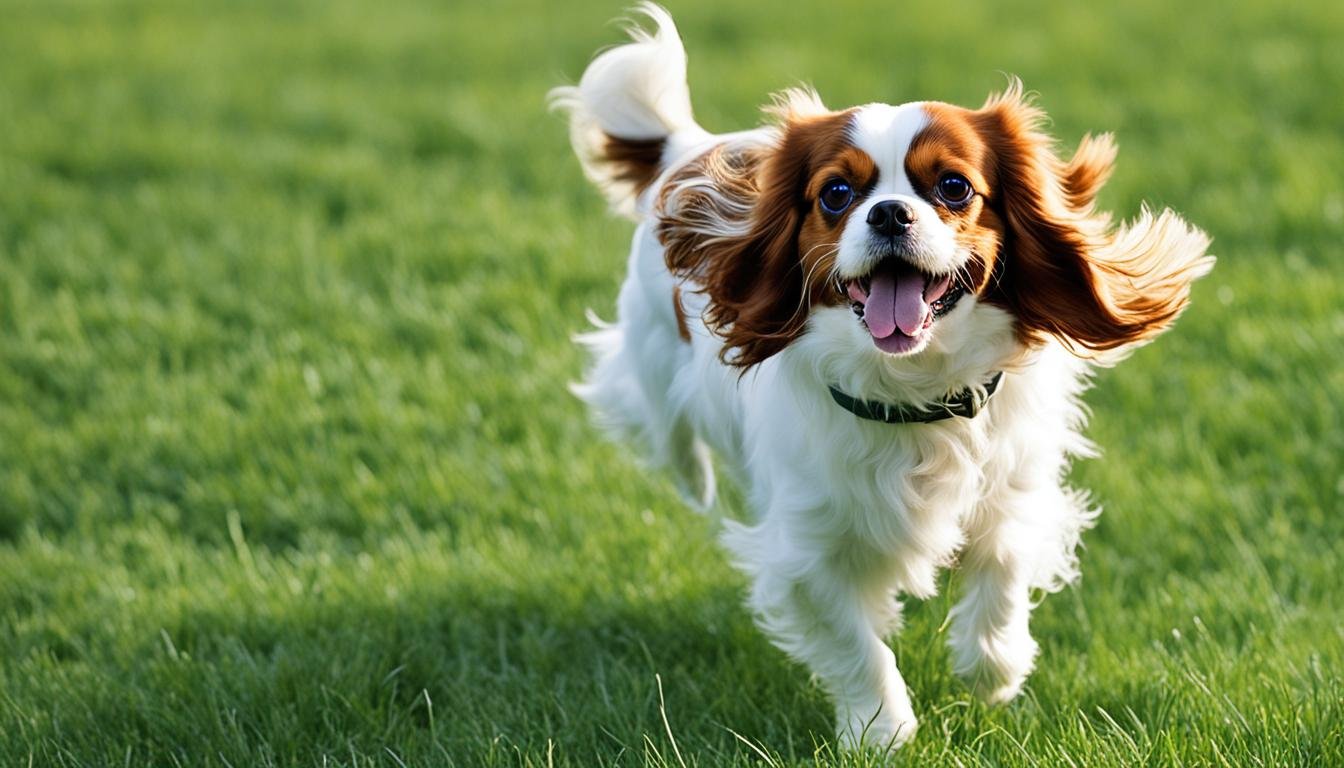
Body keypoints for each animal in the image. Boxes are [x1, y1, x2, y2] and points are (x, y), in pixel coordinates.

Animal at [551, 4, 1214, 753]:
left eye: (953, 186)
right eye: (836, 193)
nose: (889, 212)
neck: (912, 391)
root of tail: (692, 148)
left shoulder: (1013, 491)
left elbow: (1002, 570)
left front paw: (994, 670)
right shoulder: (806, 550)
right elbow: (853, 642)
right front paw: (882, 730)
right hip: (653, 367)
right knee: (666, 429)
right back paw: (697, 476)